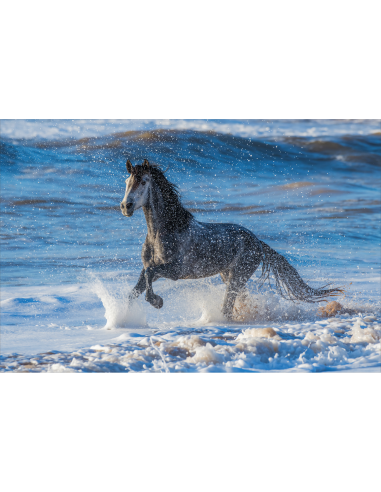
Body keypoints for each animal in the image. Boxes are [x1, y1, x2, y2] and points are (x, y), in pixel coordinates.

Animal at [120, 158, 340, 320]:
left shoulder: (175, 270)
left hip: (237, 276)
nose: (125, 206)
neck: (164, 231)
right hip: (230, 276)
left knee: (227, 307)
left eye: (143, 181)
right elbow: (137, 287)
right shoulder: (151, 268)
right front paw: (123, 318)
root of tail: (258, 242)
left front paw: (157, 302)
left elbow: (149, 275)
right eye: (127, 182)